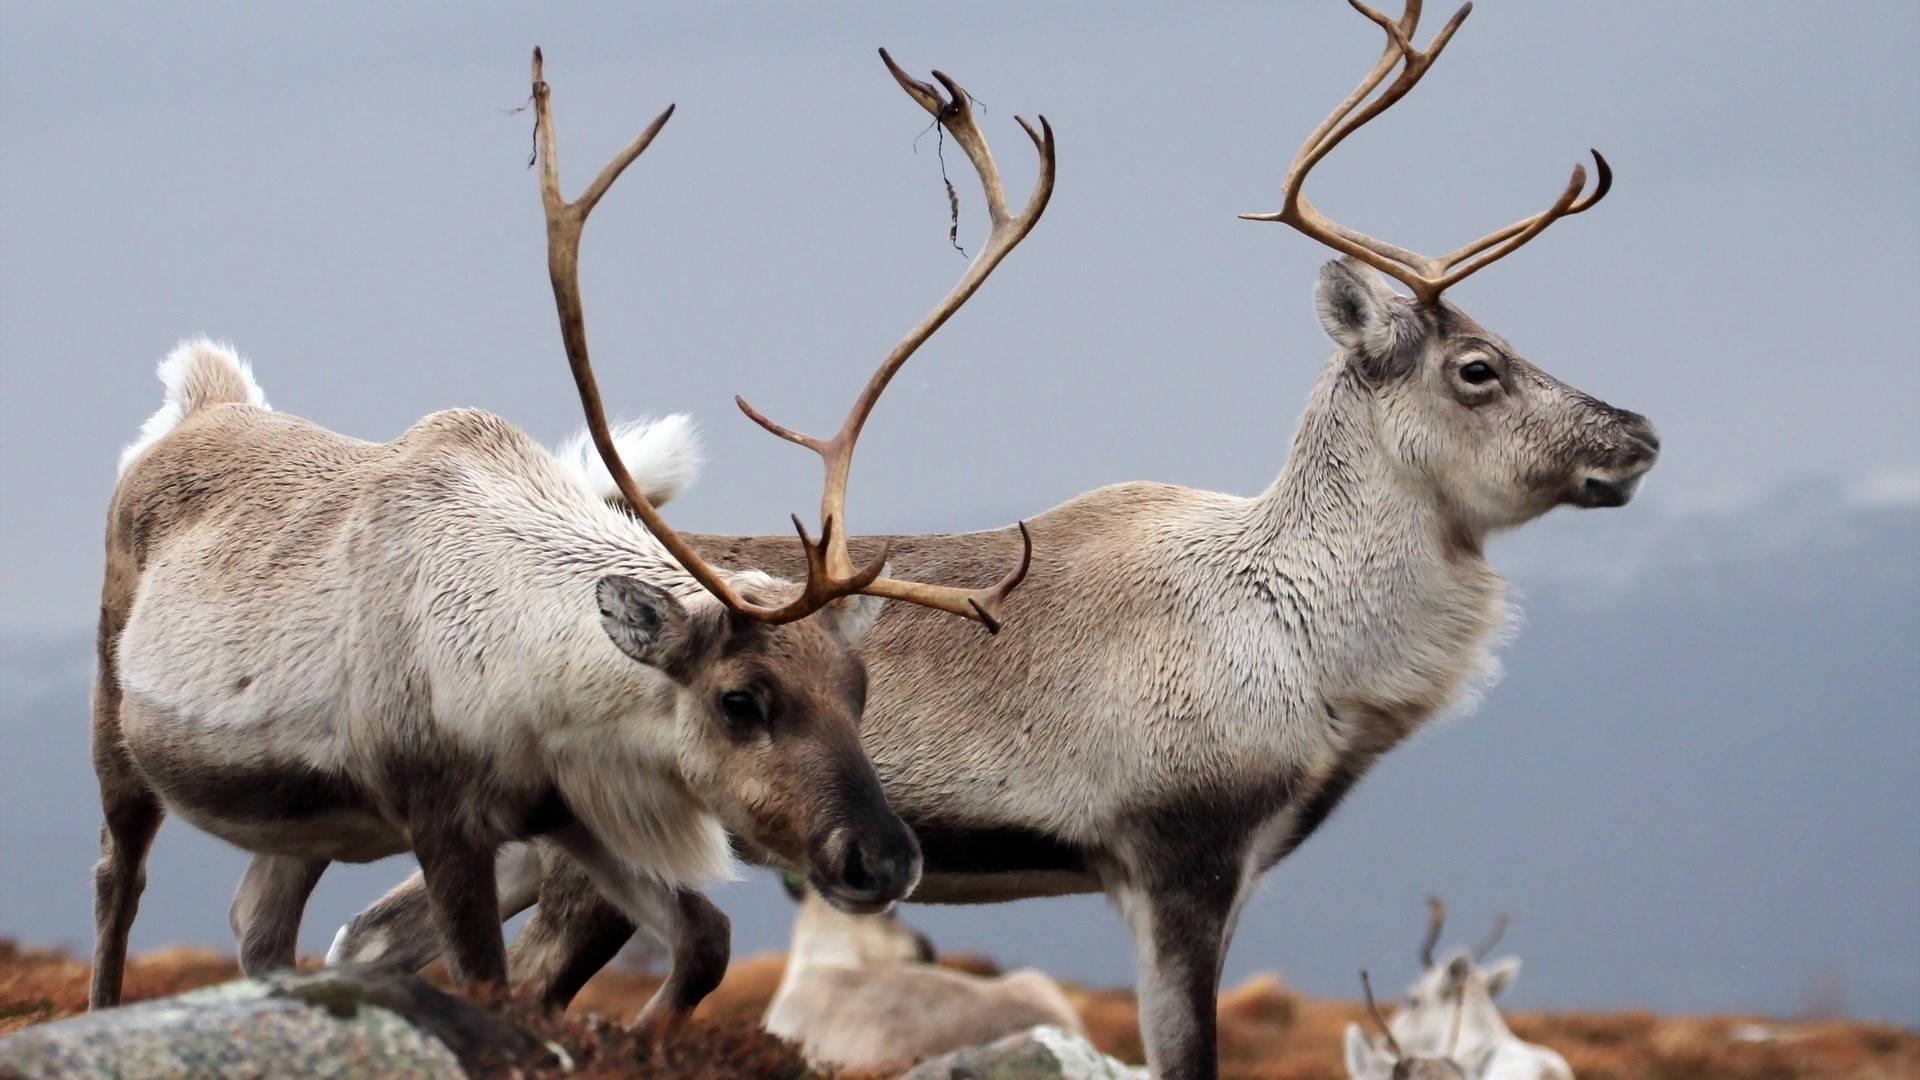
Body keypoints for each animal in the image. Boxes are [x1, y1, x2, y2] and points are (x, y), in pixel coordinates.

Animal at [86, 44, 1050, 1021]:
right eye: (740, 699)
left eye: (859, 690)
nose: (883, 860)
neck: (523, 681)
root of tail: (200, 401)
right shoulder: (443, 820)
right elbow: (489, 978)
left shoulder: (575, 816)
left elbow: (703, 940)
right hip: (116, 724)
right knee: (116, 880)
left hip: (305, 821)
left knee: (259, 925)